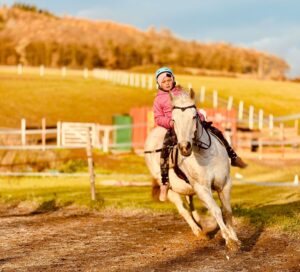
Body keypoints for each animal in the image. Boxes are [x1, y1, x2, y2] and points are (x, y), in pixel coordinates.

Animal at [144, 88, 240, 251]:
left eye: (194, 116)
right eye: (173, 119)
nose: (184, 147)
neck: (206, 156)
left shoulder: (224, 184)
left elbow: (227, 211)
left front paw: (235, 239)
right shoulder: (202, 189)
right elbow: (216, 210)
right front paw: (229, 240)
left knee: (190, 202)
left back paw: (200, 223)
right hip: (171, 190)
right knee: (182, 209)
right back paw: (198, 231)